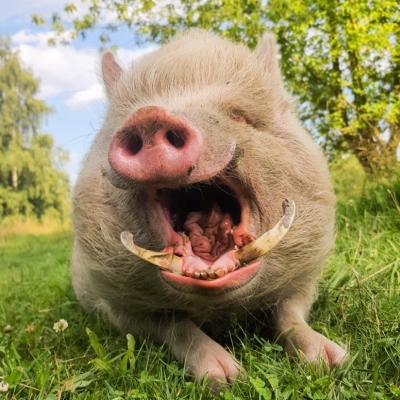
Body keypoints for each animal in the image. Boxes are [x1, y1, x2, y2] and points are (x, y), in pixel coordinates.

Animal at [72, 29, 346, 390]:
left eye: (241, 116)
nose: (149, 116)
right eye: (134, 114)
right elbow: (172, 325)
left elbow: (289, 313)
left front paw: (333, 362)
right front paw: (227, 379)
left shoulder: (306, 277)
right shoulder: (114, 304)